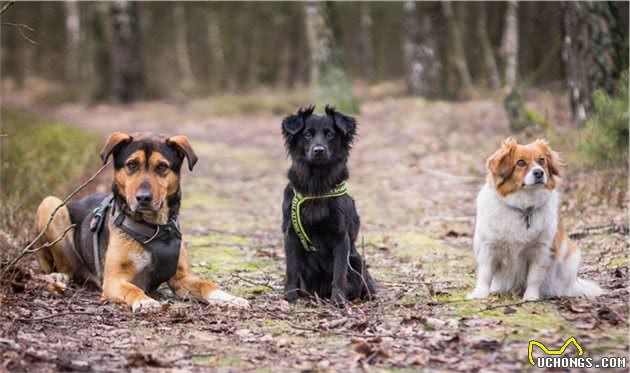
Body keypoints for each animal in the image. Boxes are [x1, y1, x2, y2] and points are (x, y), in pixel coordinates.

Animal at [33, 132, 248, 310]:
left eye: (162, 167)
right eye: (131, 165)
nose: (143, 198)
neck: (155, 229)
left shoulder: (182, 277)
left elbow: (206, 284)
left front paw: (229, 298)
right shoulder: (114, 279)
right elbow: (132, 289)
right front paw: (145, 301)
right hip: (50, 204)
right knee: (65, 267)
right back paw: (58, 276)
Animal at [282, 104, 376, 302]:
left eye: (330, 134)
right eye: (307, 134)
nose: (319, 150)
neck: (317, 185)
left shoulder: (341, 237)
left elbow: (339, 272)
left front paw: (338, 299)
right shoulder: (291, 234)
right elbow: (291, 268)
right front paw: (290, 297)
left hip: (357, 259)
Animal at [466, 137, 604, 300]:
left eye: (541, 161)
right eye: (521, 163)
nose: (539, 172)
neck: (524, 208)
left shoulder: (541, 250)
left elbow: (534, 277)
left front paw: (531, 297)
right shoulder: (489, 248)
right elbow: (485, 274)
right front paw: (480, 293)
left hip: (570, 258)